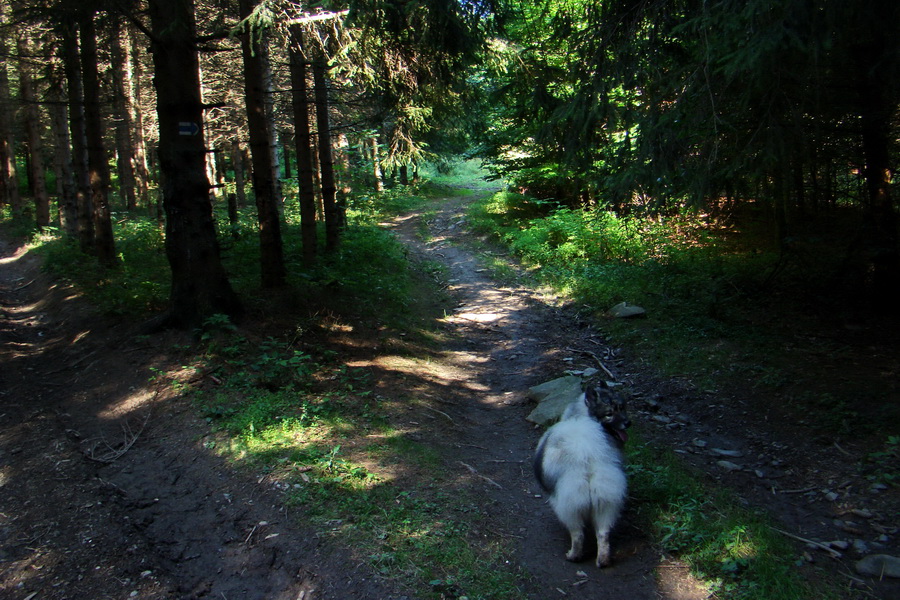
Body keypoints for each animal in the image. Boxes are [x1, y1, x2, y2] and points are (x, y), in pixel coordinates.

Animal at [536, 384, 632, 568]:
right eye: (610, 413)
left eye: (622, 408)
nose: (628, 423)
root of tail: (587, 458)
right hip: (606, 503)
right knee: (603, 535)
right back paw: (603, 560)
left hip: (568, 505)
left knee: (578, 535)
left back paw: (573, 556)